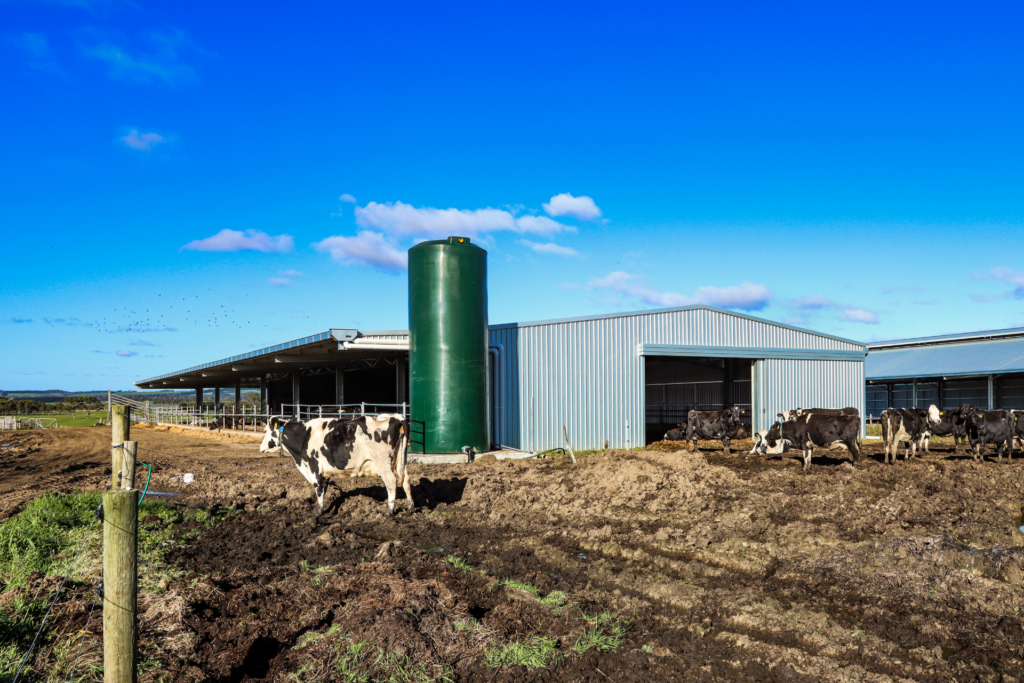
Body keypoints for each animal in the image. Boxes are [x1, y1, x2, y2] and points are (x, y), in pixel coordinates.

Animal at [260, 413, 415, 520]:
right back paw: (410, 507)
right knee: (406, 480)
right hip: (400, 461)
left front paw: (317, 512)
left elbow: (318, 490)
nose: (261, 447)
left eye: (266, 431)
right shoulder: (325, 471)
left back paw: (389, 512)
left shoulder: (314, 466)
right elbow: (324, 489)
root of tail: (394, 417)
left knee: (391, 483)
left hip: (383, 463)